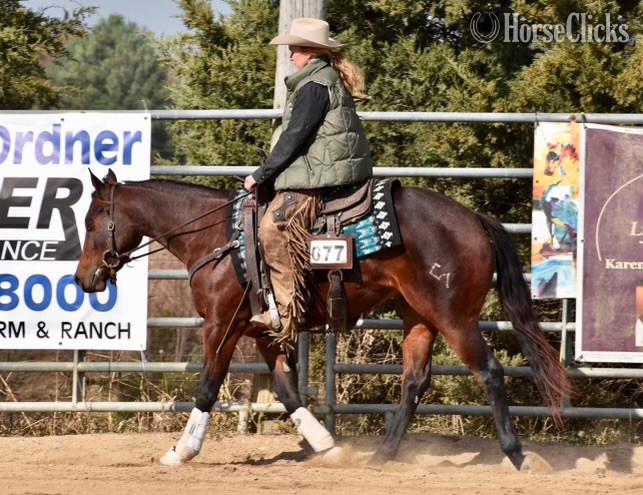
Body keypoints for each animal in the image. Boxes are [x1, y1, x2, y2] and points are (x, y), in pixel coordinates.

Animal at [74, 169, 572, 469]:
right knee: (415, 381)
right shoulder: (265, 331)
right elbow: (286, 390)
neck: (217, 238)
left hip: (456, 318)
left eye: (93, 220)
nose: (84, 278)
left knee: (489, 372)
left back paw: (517, 455)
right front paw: (326, 446)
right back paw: (382, 456)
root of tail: (474, 220)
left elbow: (209, 385)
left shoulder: (221, 325)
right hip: (419, 317)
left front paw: (182, 450)